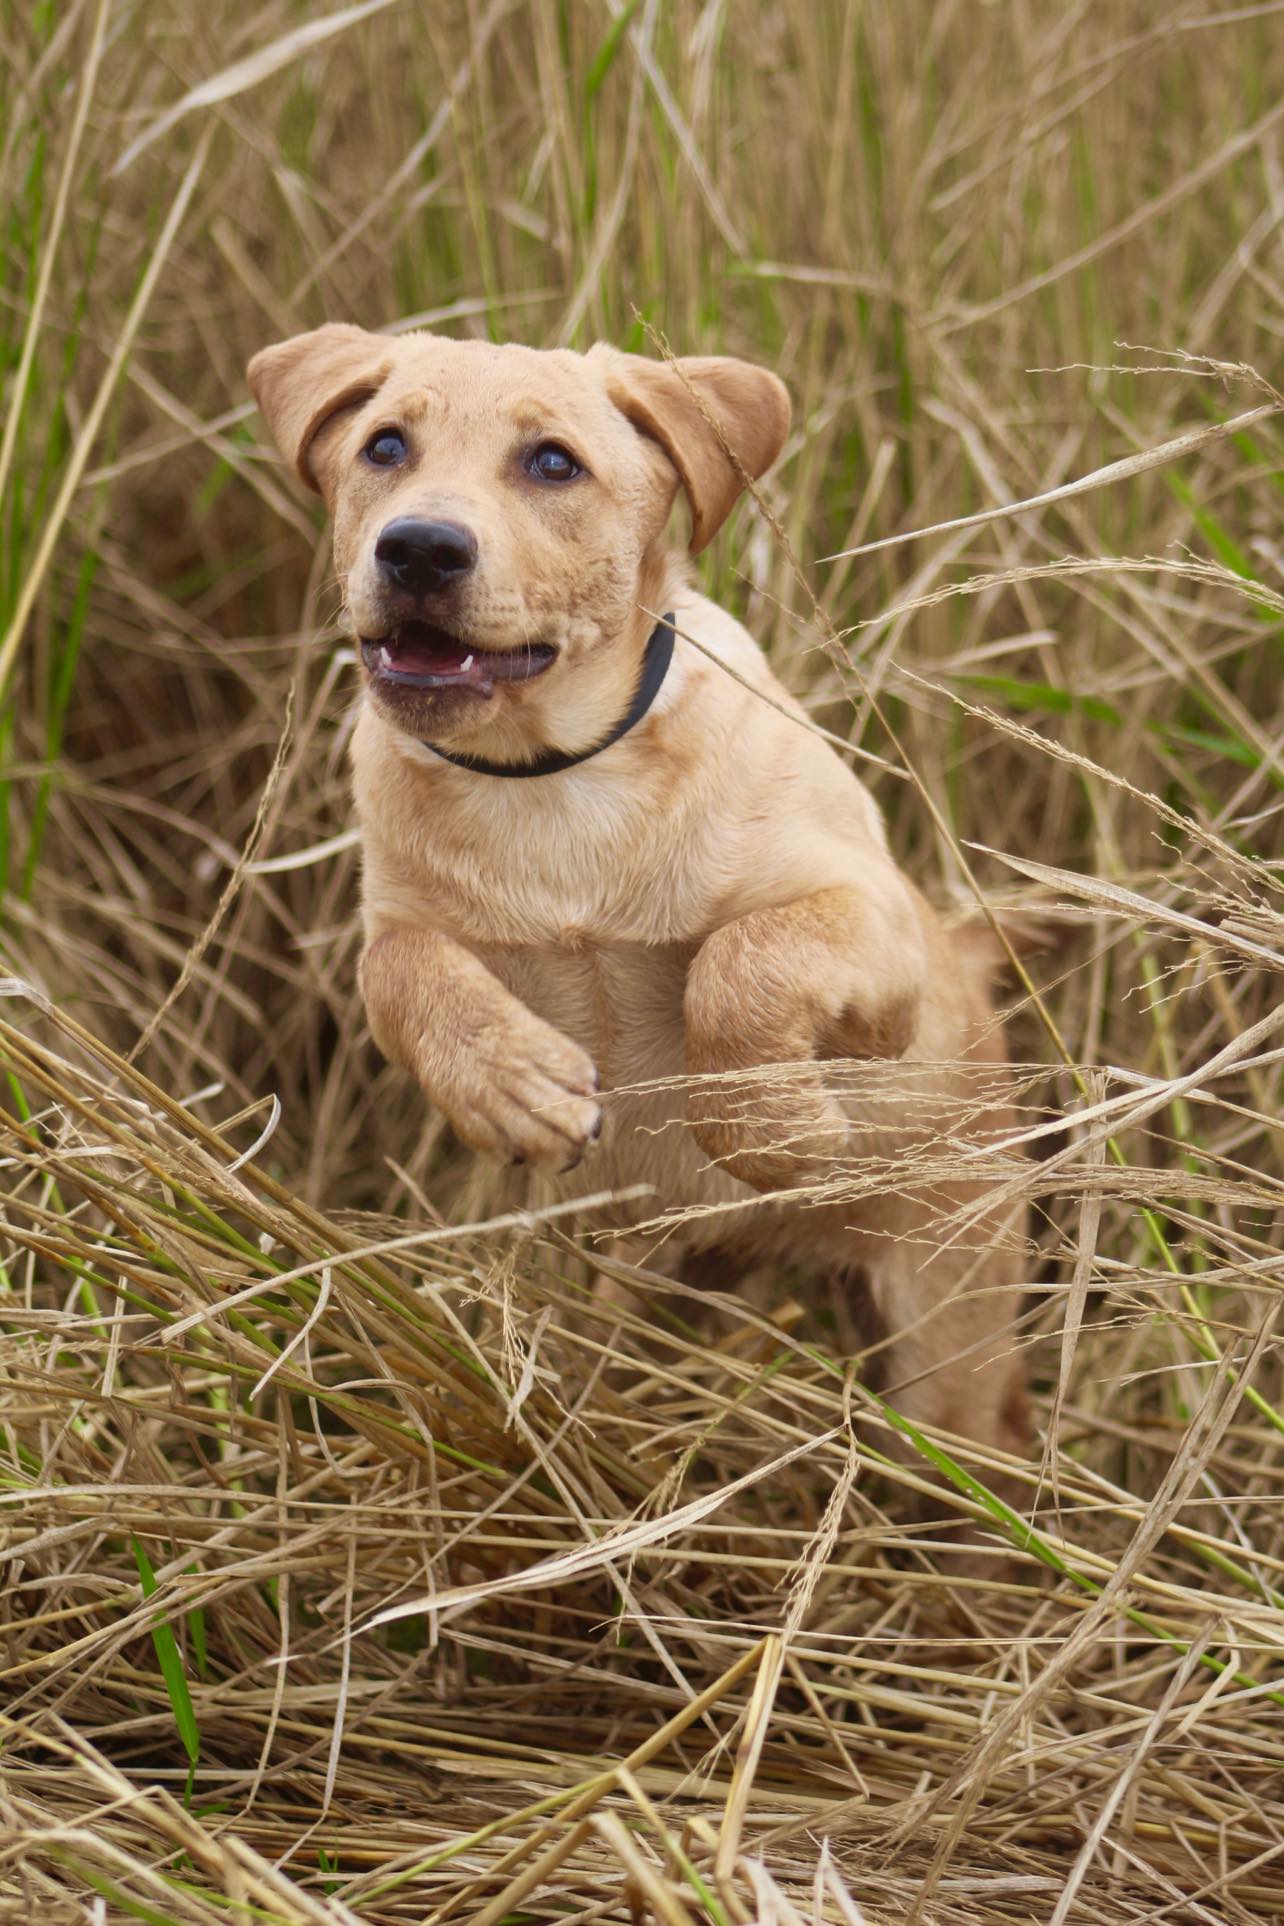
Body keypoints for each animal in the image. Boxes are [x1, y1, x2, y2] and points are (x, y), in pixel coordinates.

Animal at [248, 327, 1031, 1471]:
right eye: (384, 446)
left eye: (553, 463)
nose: (420, 550)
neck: (548, 779)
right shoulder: (399, 916)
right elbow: (398, 968)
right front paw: (511, 1085)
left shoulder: (875, 926)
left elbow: (740, 964)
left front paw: (777, 1132)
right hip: (638, 1284)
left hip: (948, 1340)